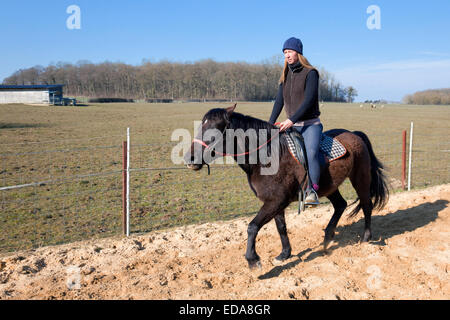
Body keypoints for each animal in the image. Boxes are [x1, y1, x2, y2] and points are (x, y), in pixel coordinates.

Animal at [185, 105, 388, 270]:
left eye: (214, 129)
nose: (189, 158)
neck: (266, 156)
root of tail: (354, 133)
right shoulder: (275, 202)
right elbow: (281, 227)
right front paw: (285, 254)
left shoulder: (276, 201)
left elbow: (252, 226)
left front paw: (253, 260)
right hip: (329, 186)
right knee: (340, 205)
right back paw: (328, 237)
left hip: (360, 179)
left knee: (367, 205)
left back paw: (366, 237)